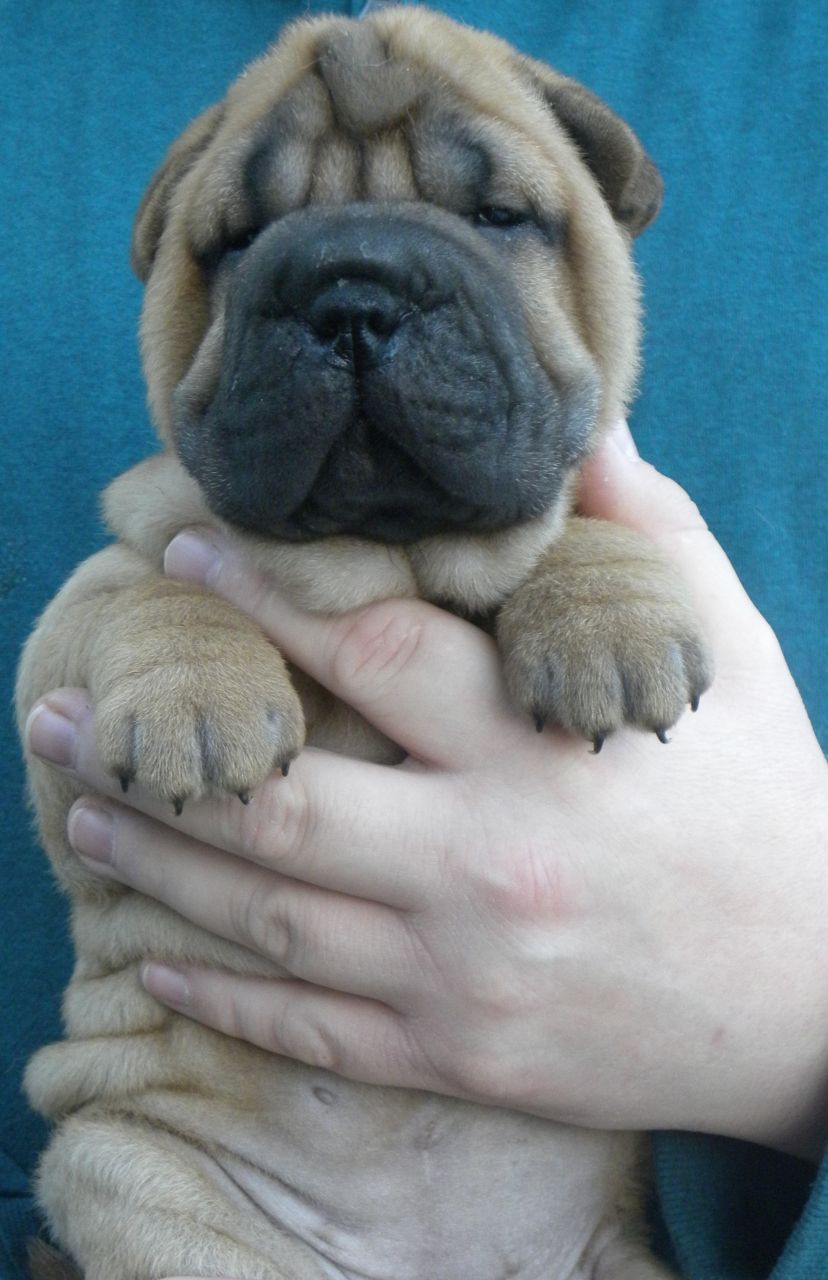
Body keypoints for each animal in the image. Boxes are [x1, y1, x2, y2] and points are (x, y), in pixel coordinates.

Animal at [16, 7, 711, 1280]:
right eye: (238, 242)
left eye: (499, 218)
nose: (351, 299)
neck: (393, 558)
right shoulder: (78, 631)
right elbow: (151, 592)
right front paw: (197, 695)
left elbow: (577, 514)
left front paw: (608, 618)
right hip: (133, 1182)